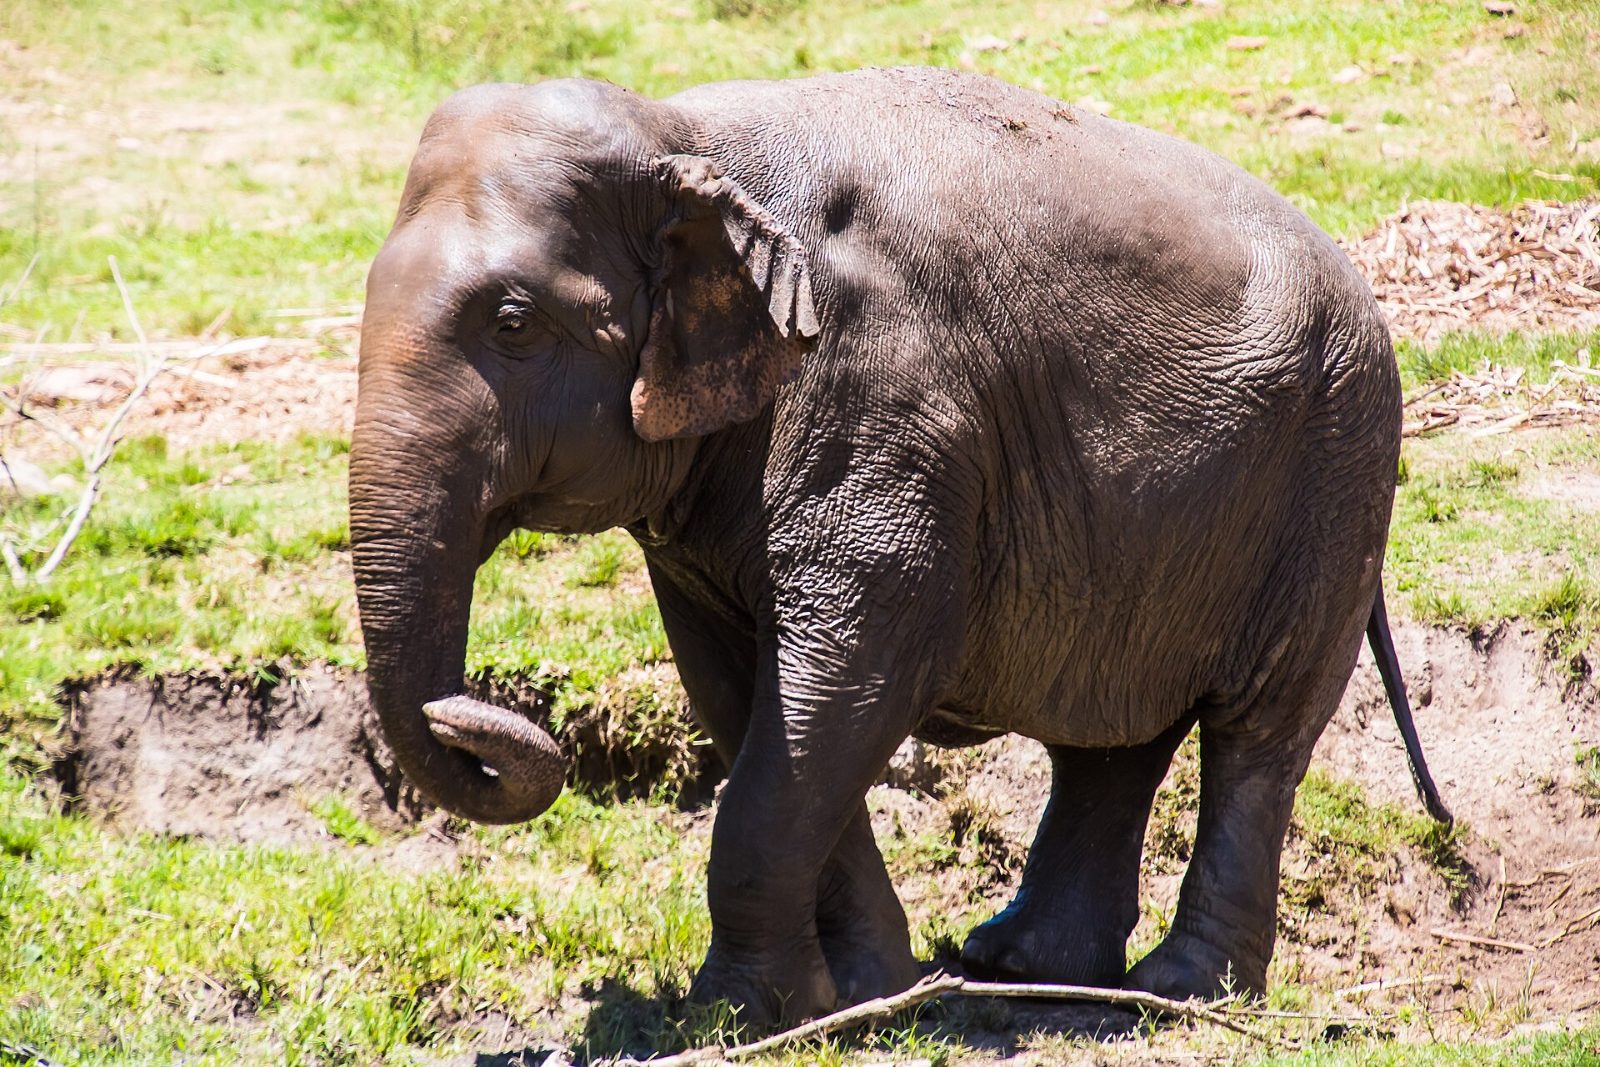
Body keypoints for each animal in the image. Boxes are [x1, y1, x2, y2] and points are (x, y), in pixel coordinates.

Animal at [349, 66, 1449, 1027]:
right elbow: (741, 692)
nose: (462, 709)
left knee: (1255, 736)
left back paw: (1178, 992)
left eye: (513, 322)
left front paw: (731, 1015)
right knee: (1114, 734)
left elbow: (853, 672)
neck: (686, 136)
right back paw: (1018, 963)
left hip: (1337, 469)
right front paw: (858, 995)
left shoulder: (886, 398)